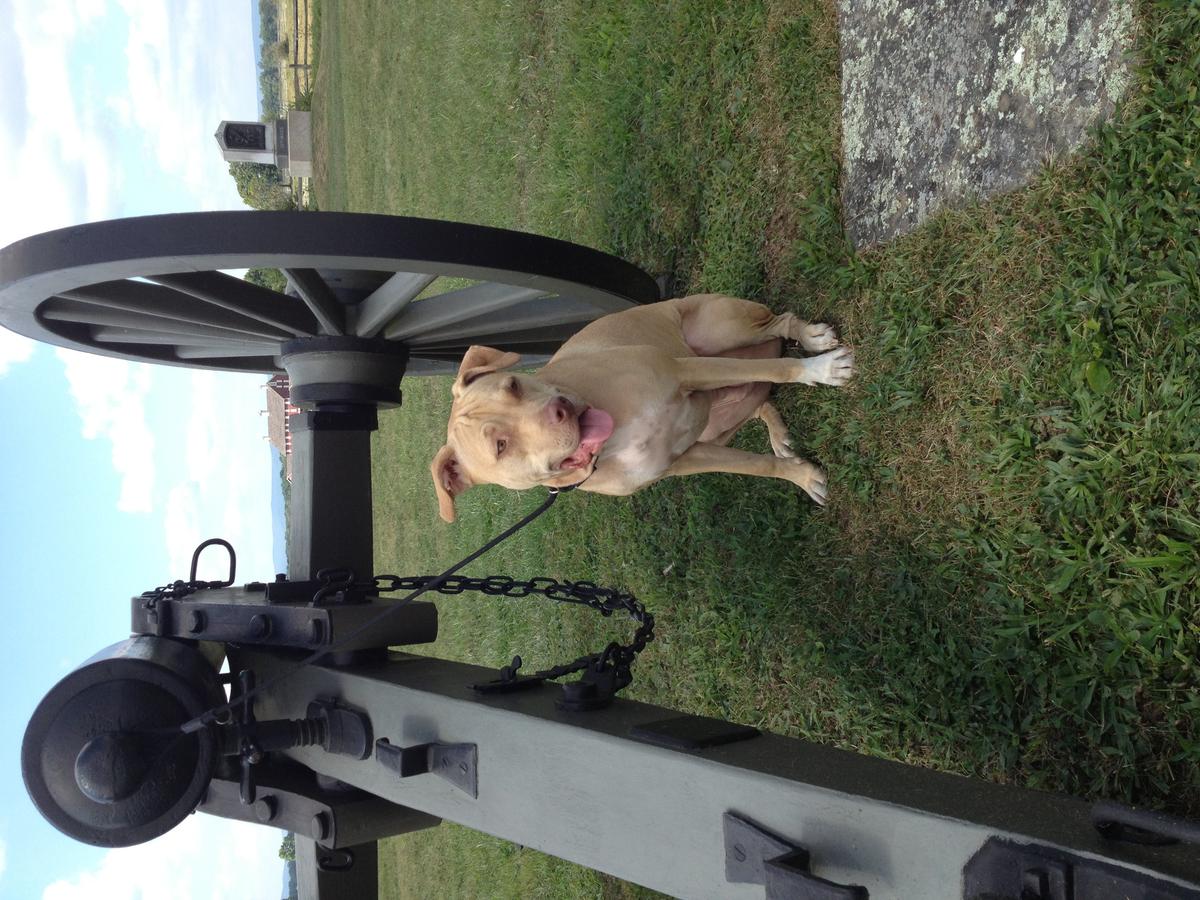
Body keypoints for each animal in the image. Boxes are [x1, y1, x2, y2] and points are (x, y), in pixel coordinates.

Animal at [432, 296, 854, 520]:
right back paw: (778, 435)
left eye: (514, 385)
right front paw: (801, 476)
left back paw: (811, 339)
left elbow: (780, 367)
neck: (614, 440)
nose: (559, 409)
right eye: (500, 446)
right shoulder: (685, 457)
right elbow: (757, 465)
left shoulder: (686, 370)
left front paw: (822, 369)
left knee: (779, 327)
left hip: (723, 332)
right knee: (758, 397)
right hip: (717, 424)